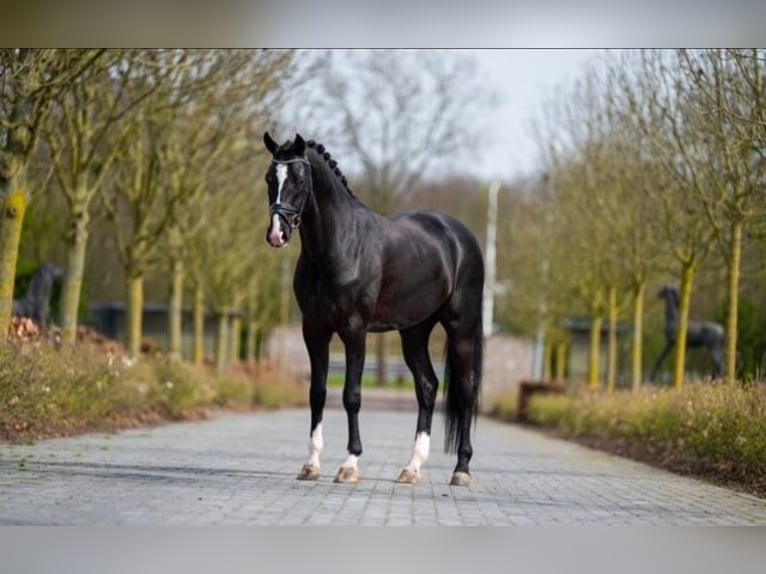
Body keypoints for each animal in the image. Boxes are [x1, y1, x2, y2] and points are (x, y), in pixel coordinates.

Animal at [262, 132, 485, 486]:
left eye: (298, 178)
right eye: (270, 178)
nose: (277, 234)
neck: (338, 246)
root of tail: (461, 237)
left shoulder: (355, 330)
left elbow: (351, 395)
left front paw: (350, 465)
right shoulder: (314, 330)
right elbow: (317, 392)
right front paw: (311, 465)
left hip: (461, 328)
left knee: (464, 391)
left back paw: (461, 470)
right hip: (414, 332)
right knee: (427, 387)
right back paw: (412, 468)